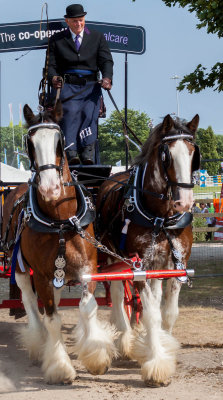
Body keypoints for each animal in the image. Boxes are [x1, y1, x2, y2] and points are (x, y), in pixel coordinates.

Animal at [1, 102, 116, 384]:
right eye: (30, 142)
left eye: (58, 140)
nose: (50, 188)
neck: (61, 220)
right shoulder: (41, 275)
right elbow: (52, 317)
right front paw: (60, 366)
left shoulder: (88, 269)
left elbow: (87, 307)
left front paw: (96, 356)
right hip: (20, 266)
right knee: (30, 302)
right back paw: (38, 342)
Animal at [96, 113, 200, 388]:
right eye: (167, 155)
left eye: (193, 152)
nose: (184, 202)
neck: (160, 217)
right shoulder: (139, 266)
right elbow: (151, 313)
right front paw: (156, 366)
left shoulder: (177, 265)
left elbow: (168, 314)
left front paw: (164, 349)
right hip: (112, 255)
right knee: (118, 294)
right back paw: (124, 338)